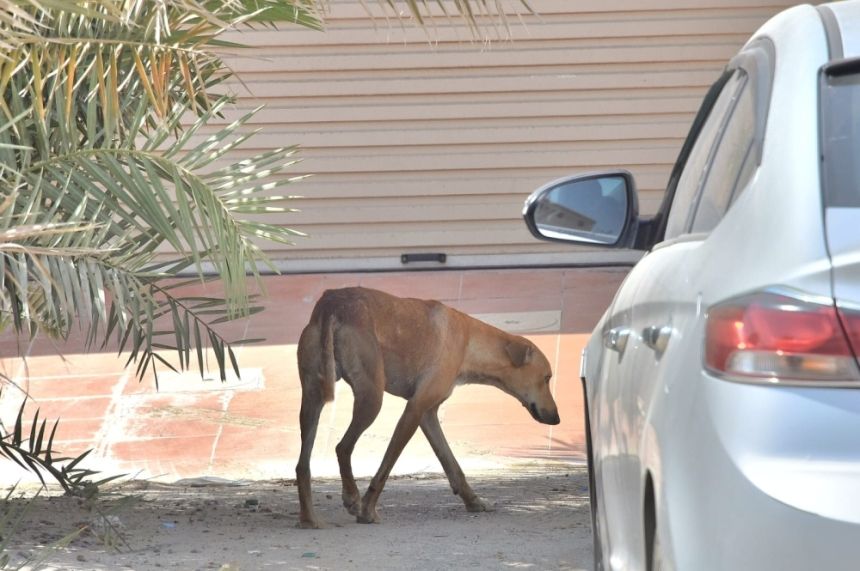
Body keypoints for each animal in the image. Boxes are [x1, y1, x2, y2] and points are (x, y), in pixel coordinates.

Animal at [298, 288, 564, 528]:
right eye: (547, 377)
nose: (556, 419)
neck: (469, 341)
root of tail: (331, 302)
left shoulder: (428, 415)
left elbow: (452, 464)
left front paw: (473, 501)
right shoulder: (414, 409)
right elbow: (385, 468)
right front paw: (367, 511)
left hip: (312, 400)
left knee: (302, 466)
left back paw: (309, 520)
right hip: (371, 399)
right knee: (342, 447)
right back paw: (351, 498)